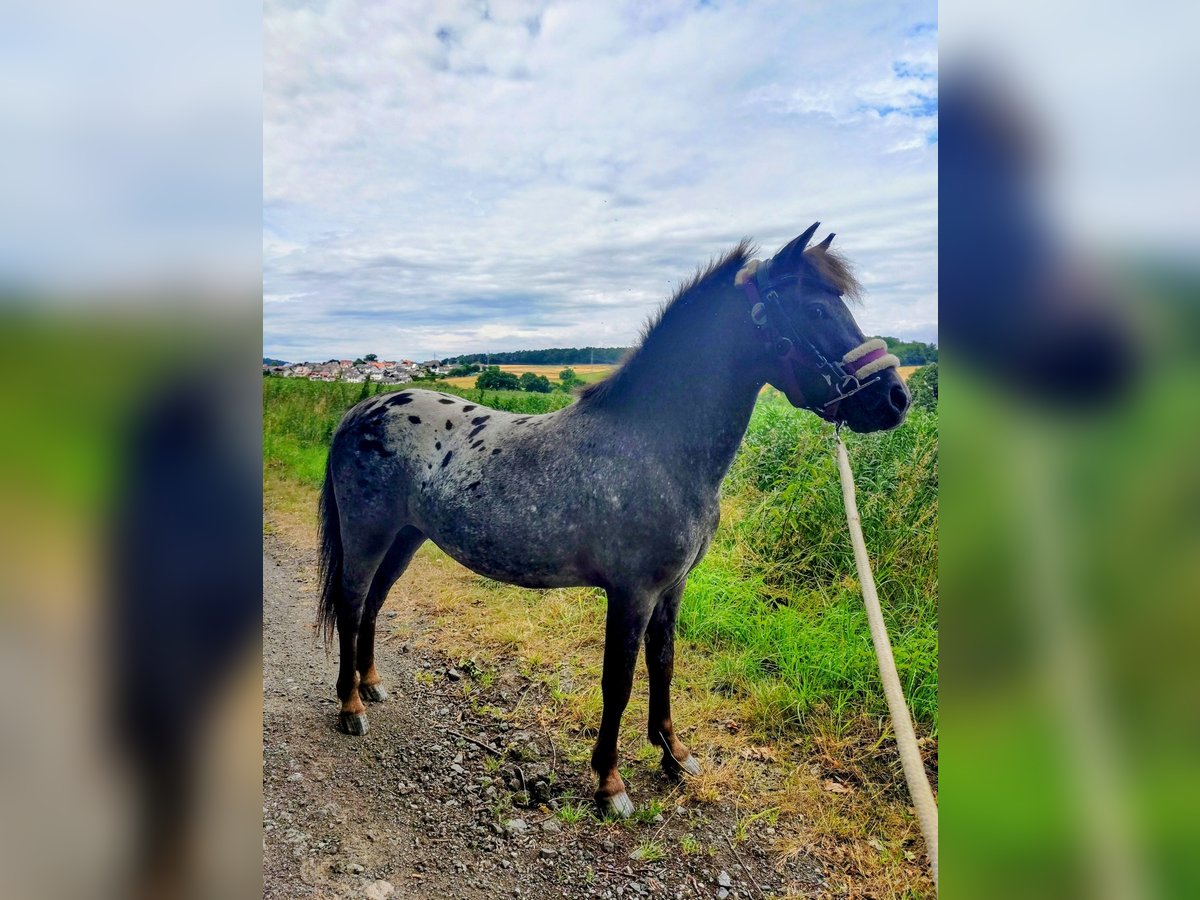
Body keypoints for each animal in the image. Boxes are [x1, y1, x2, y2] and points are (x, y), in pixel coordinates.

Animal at [316, 223, 911, 816]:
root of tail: (361, 410)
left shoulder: (672, 589)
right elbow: (618, 682)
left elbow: (663, 665)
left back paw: (371, 685)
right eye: (815, 308)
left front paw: (675, 755)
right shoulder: (632, 593)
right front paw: (610, 784)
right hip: (368, 534)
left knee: (373, 604)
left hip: (405, 538)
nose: (895, 397)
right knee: (351, 604)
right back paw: (350, 707)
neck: (654, 445)